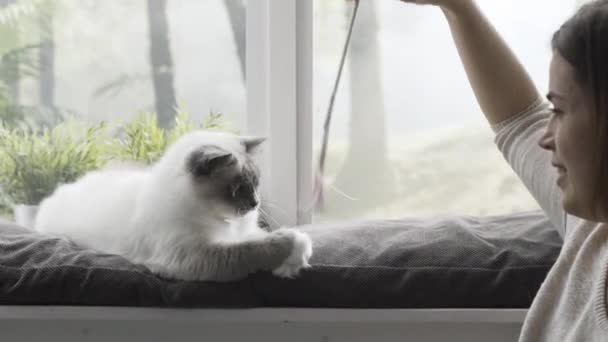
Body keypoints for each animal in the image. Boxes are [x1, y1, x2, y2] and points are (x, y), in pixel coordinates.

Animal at [34, 130, 314, 282]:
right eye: (236, 189)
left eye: (256, 183)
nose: (255, 203)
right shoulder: (195, 253)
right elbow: (254, 249)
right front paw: (296, 247)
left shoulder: (240, 233)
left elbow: (258, 239)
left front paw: (291, 261)